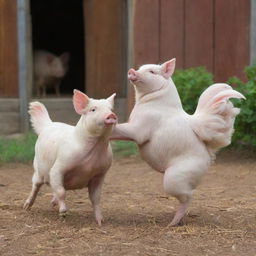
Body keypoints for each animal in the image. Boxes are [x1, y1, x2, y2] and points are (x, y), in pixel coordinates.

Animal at [23, 89, 117, 225]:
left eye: (110, 108)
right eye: (93, 109)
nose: (111, 115)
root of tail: (49, 124)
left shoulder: (100, 174)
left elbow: (96, 198)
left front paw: (100, 222)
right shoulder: (58, 167)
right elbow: (61, 191)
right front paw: (63, 213)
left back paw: (52, 203)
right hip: (38, 169)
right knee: (36, 186)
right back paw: (26, 207)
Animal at [111, 58, 245, 226]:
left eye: (152, 72)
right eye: (141, 68)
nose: (132, 71)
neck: (153, 102)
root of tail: (208, 151)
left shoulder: (138, 130)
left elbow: (122, 130)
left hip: (173, 179)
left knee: (188, 197)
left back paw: (173, 222)